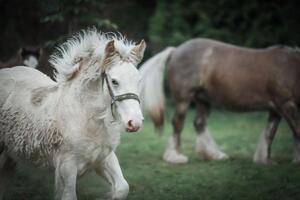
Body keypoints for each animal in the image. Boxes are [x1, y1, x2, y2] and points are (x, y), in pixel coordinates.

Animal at [0, 28, 146, 199]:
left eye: (139, 80)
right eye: (114, 81)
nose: (135, 122)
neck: (87, 118)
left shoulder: (104, 158)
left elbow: (122, 188)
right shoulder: (67, 166)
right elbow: (69, 195)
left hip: (10, 157)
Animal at [139, 38, 300, 165]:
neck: (290, 67)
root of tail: (176, 50)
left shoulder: (276, 110)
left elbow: (270, 132)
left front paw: (265, 160)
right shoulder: (286, 104)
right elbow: (296, 130)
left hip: (202, 99)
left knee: (199, 123)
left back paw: (213, 155)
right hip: (184, 99)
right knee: (178, 123)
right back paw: (176, 156)